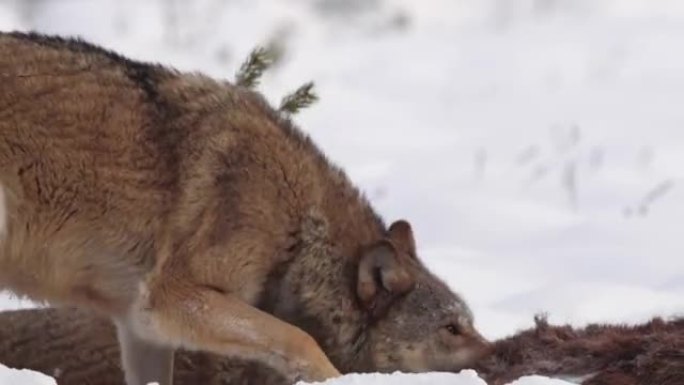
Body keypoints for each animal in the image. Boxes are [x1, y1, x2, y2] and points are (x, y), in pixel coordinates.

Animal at [0, 32, 492, 384]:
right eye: (452, 329)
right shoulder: (172, 297)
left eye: (469, 323)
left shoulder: (142, 327)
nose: (502, 357)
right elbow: (300, 340)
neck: (300, 227)